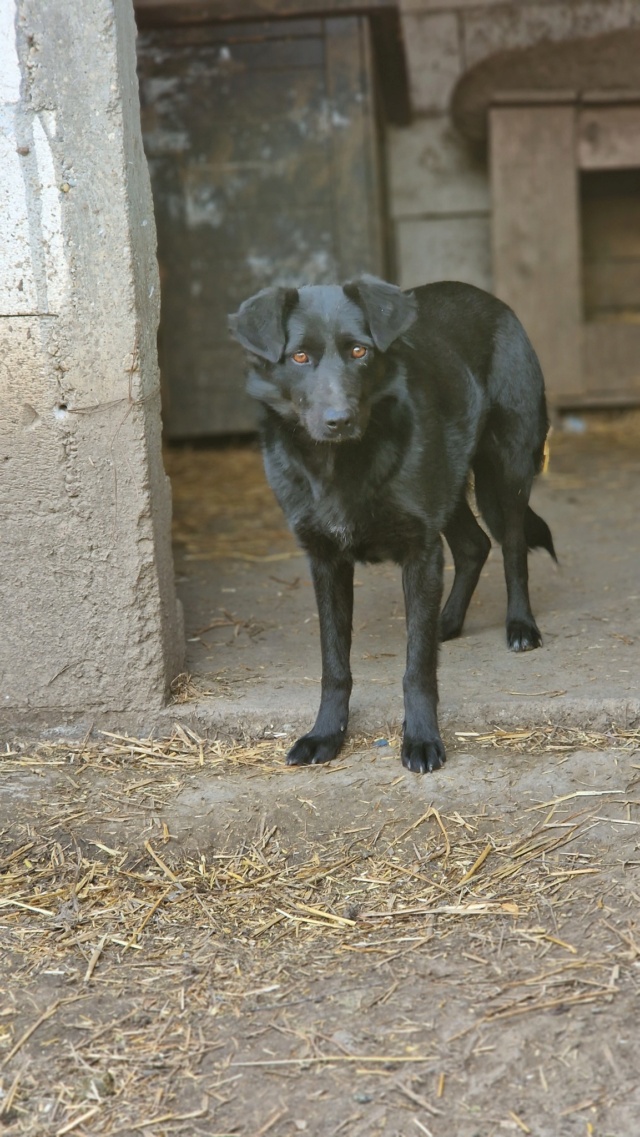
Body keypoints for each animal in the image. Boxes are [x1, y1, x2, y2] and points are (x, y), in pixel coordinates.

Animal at [230, 276, 557, 773]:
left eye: (359, 351)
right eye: (299, 357)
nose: (339, 420)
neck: (340, 466)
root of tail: (487, 297)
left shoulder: (420, 551)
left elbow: (417, 667)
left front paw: (421, 738)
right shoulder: (326, 561)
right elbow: (334, 665)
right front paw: (325, 734)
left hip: (508, 467)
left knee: (513, 545)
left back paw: (520, 625)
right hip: (450, 483)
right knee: (474, 545)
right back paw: (447, 621)